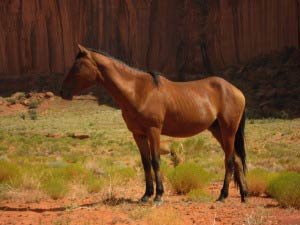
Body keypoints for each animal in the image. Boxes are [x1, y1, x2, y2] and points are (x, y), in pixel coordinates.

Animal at [59, 44, 247, 204]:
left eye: (77, 66)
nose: (62, 92)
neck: (138, 92)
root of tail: (236, 90)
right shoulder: (138, 134)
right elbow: (146, 162)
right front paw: (146, 195)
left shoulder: (154, 131)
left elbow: (156, 160)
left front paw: (158, 196)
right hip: (217, 130)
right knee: (237, 159)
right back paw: (244, 195)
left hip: (228, 130)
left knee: (229, 160)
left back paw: (222, 196)